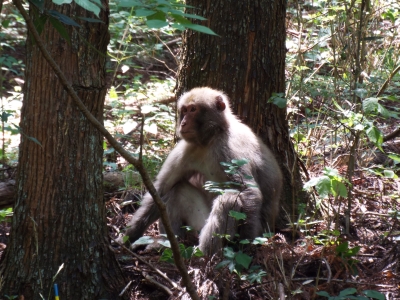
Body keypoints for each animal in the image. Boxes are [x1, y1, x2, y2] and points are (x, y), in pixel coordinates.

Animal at [122, 86, 282, 255]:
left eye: (193, 109)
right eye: (184, 110)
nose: (183, 123)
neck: (211, 138)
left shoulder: (230, 150)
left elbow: (249, 192)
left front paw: (244, 245)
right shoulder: (186, 149)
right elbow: (160, 190)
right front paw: (127, 237)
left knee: (229, 199)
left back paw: (203, 254)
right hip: (197, 224)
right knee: (176, 189)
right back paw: (167, 243)